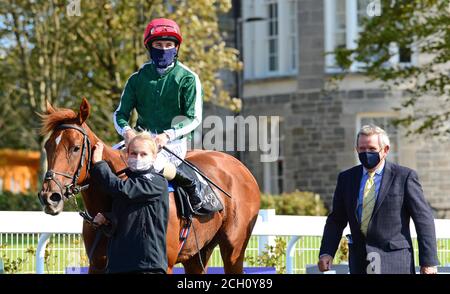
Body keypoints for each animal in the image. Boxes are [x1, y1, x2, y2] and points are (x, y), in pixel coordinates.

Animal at [37, 98, 260, 274]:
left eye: (75, 148)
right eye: (47, 146)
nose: (49, 196)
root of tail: (242, 168)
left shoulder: (164, 265)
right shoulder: (98, 265)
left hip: (233, 249)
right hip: (196, 255)